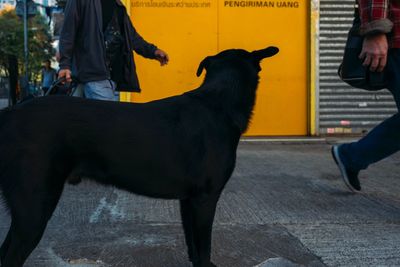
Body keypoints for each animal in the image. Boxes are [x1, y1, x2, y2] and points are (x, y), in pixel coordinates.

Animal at [0, 47, 278, 266]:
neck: (218, 101)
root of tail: (9, 113)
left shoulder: (188, 201)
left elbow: (193, 247)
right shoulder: (205, 199)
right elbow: (203, 249)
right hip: (35, 207)